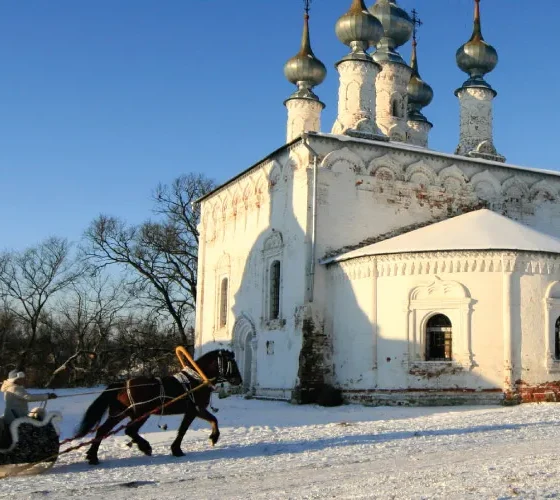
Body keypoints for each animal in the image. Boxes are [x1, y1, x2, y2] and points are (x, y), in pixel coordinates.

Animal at [76, 350, 241, 462]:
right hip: (141, 413)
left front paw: (213, 437)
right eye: (232, 363)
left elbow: (213, 420)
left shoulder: (197, 410)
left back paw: (92, 456)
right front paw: (177, 449)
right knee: (130, 430)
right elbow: (184, 430)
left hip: (119, 413)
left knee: (103, 430)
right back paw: (145, 447)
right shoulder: (194, 410)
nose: (239, 380)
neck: (195, 380)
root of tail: (123, 384)